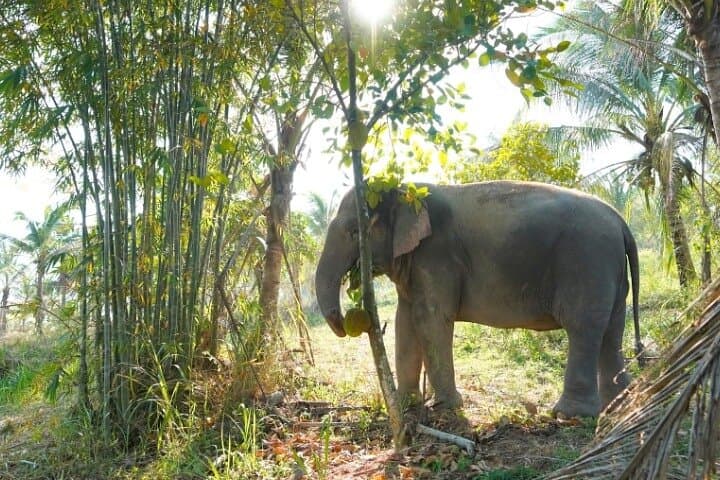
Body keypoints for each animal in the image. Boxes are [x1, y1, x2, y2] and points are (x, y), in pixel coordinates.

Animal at [315, 181, 641, 418]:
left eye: (354, 231)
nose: (347, 321)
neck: (403, 188)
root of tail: (621, 222)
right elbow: (404, 320)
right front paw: (407, 405)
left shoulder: (437, 254)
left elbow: (431, 318)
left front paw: (444, 407)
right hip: (609, 269)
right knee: (611, 331)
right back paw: (619, 405)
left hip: (587, 261)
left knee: (583, 328)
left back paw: (570, 415)